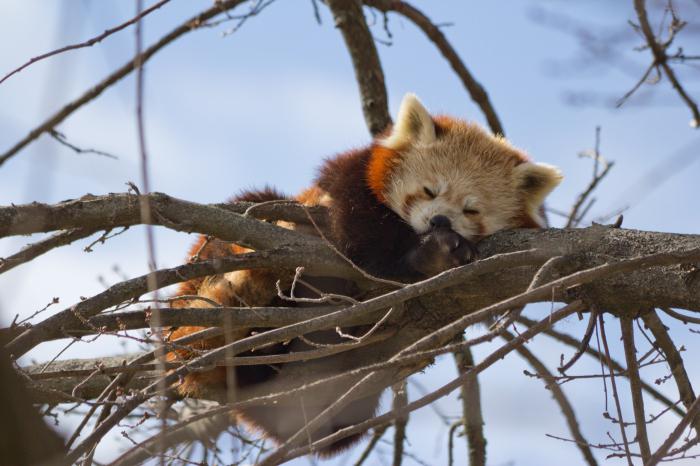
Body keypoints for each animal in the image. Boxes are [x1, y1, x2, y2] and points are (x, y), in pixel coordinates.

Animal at [168, 93, 564, 456]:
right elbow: (366, 239)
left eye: (471, 210)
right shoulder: (347, 181)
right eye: (429, 190)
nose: (440, 220)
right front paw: (426, 256)